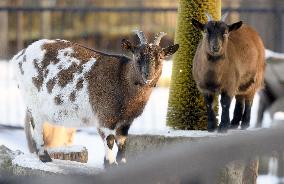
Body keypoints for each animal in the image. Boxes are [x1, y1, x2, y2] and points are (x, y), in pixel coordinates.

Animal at [12, 30, 180, 165]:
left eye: (160, 56)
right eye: (137, 55)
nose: (148, 75)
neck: (122, 80)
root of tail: (19, 56)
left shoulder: (126, 122)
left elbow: (123, 143)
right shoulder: (106, 117)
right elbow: (110, 142)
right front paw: (109, 165)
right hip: (33, 102)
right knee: (36, 126)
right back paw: (44, 157)